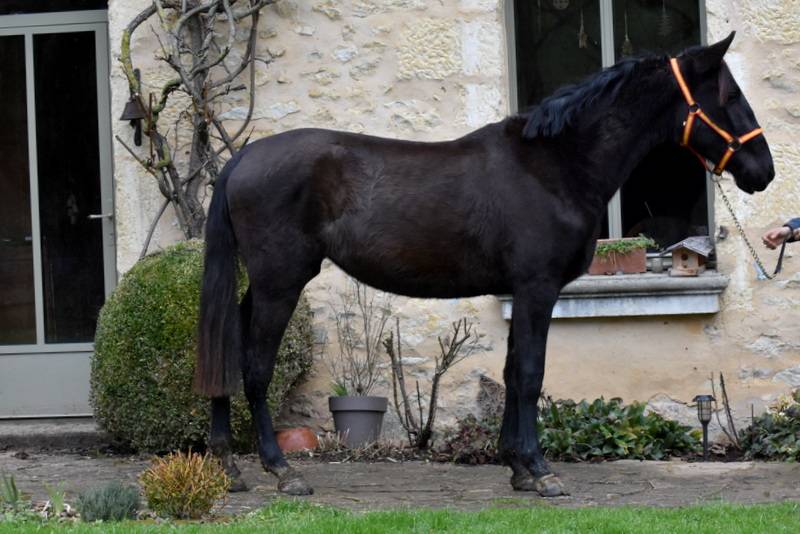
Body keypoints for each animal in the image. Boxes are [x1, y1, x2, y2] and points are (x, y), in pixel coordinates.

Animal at [194, 32, 774, 496]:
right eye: (730, 96)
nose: (763, 171)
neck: (556, 166)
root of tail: (242, 158)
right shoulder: (538, 288)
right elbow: (530, 373)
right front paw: (540, 471)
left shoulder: (520, 291)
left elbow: (512, 370)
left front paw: (517, 467)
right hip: (280, 283)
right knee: (254, 367)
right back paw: (282, 471)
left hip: (261, 285)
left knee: (226, 350)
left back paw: (229, 467)